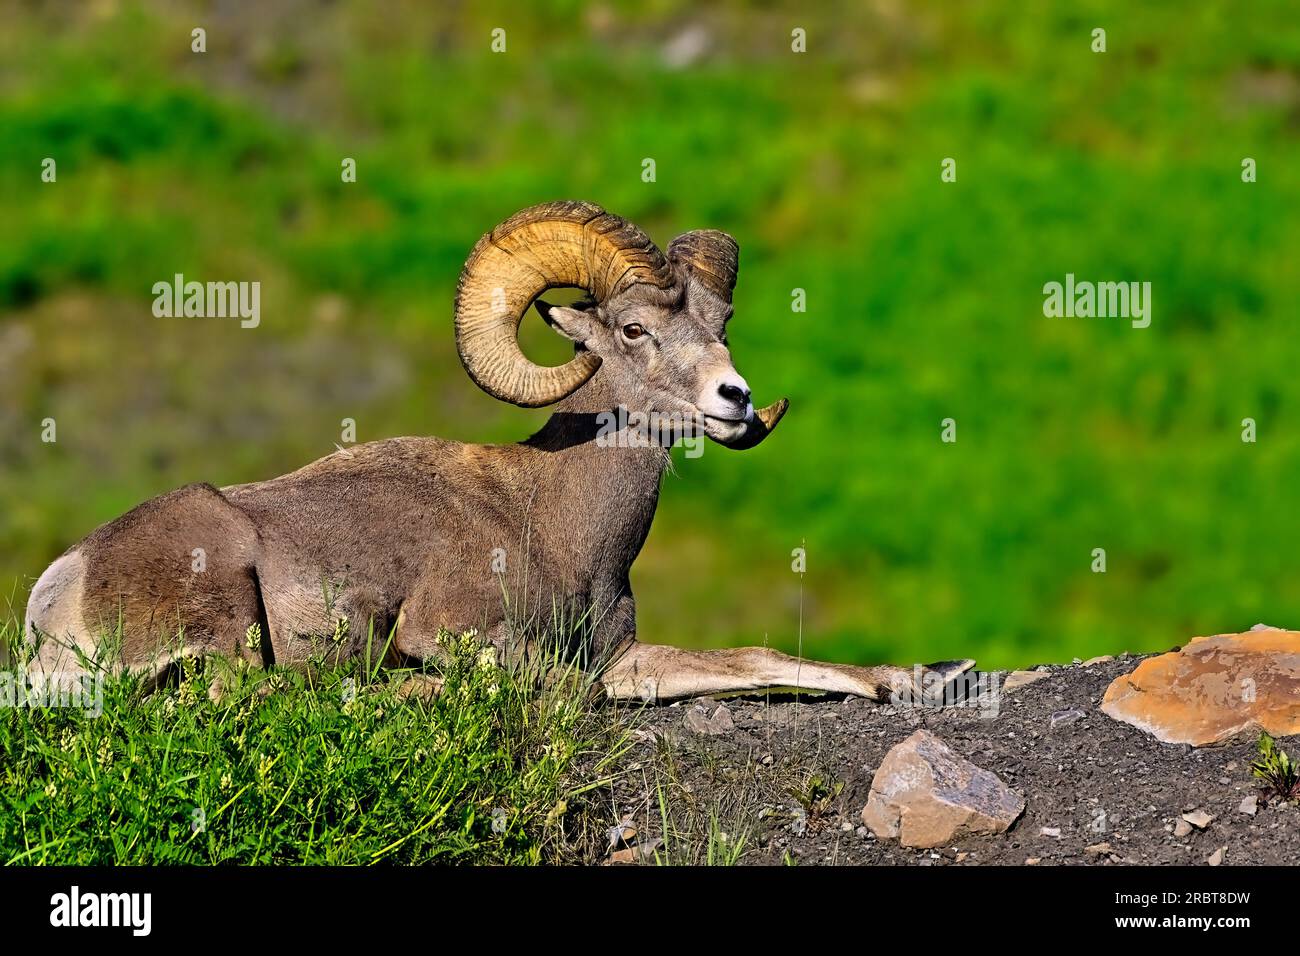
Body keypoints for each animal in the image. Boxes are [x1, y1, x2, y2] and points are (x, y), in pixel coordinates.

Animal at [25, 204, 972, 702]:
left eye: (723, 325)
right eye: (634, 329)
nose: (734, 401)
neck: (555, 523)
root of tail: (55, 600)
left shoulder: (625, 659)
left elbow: (754, 660)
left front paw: (918, 678)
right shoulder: (460, 632)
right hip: (222, 608)